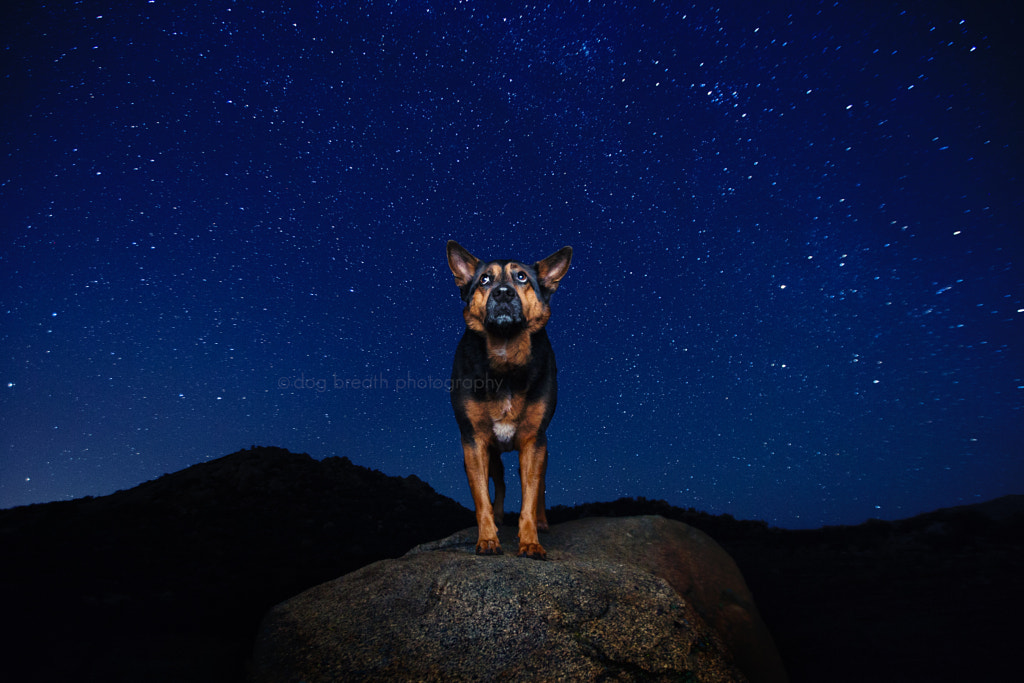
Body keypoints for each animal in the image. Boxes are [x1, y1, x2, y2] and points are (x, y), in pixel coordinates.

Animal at [446, 240, 573, 561]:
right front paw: (488, 538)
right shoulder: (473, 441)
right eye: (484, 280)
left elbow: (530, 497)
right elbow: (482, 498)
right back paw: (500, 518)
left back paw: (541, 522)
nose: (502, 293)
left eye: (522, 277)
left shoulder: (533, 442)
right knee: (500, 483)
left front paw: (530, 542)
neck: (505, 355)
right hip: (492, 454)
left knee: (539, 487)